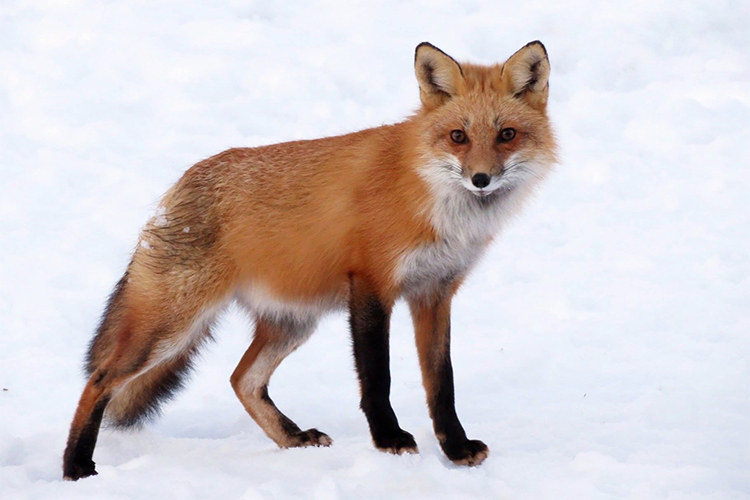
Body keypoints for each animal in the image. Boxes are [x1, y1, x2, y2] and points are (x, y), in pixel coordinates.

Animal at [63, 40, 560, 480]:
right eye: (458, 136)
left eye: (507, 135)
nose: (481, 179)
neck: (434, 201)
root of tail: (177, 187)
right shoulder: (372, 284)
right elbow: (377, 378)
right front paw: (389, 441)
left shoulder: (435, 293)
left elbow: (442, 383)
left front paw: (455, 450)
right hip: (171, 327)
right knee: (99, 380)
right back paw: (76, 467)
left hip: (292, 323)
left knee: (242, 380)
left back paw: (292, 438)